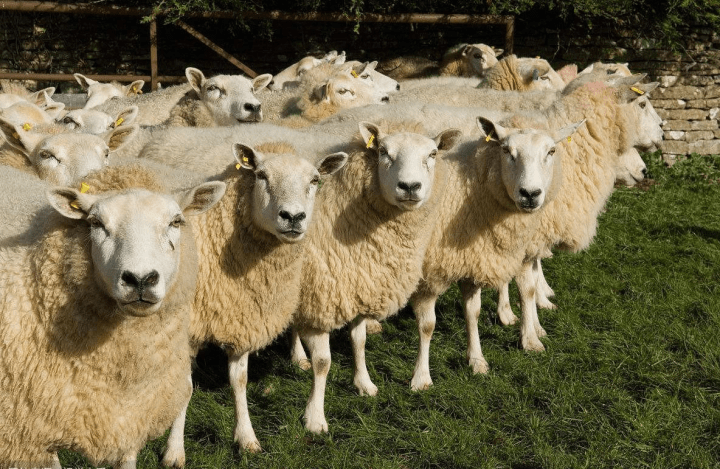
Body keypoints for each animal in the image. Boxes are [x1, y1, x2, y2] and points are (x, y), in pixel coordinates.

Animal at [404, 115, 584, 390]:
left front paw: (482, 358)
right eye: (506, 150)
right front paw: (421, 377)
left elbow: (478, 310)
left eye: (551, 151)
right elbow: (426, 325)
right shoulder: (430, 274)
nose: (530, 194)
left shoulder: (478, 259)